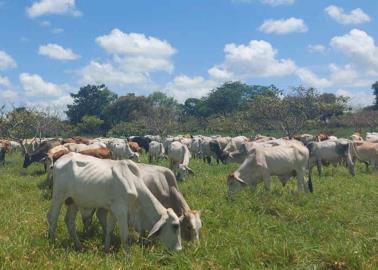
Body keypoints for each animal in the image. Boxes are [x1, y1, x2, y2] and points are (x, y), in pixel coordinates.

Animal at [49, 153, 183, 252]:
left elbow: (109, 230)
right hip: (58, 197)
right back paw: (52, 243)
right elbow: (124, 236)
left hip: (73, 201)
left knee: (69, 221)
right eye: (175, 226)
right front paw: (128, 257)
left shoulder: (113, 210)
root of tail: (59, 160)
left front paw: (106, 250)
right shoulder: (121, 211)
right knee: (53, 218)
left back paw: (79, 246)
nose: (179, 249)